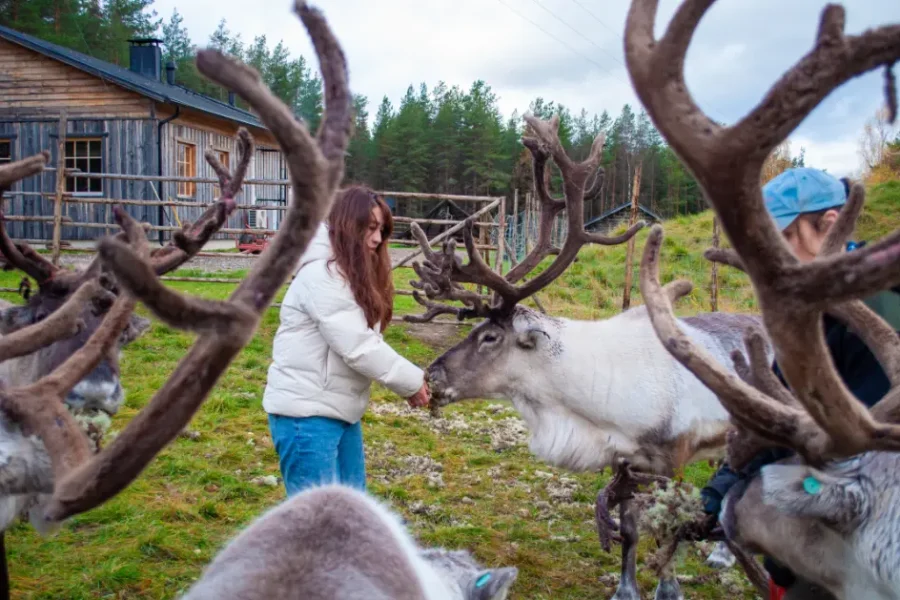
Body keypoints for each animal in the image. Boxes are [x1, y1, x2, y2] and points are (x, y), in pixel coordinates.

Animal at [403, 112, 766, 598]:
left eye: (490, 337)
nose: (432, 375)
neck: (589, 405)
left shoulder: (673, 458)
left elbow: (667, 531)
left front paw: (667, 588)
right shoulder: (627, 462)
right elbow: (629, 529)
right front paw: (625, 588)